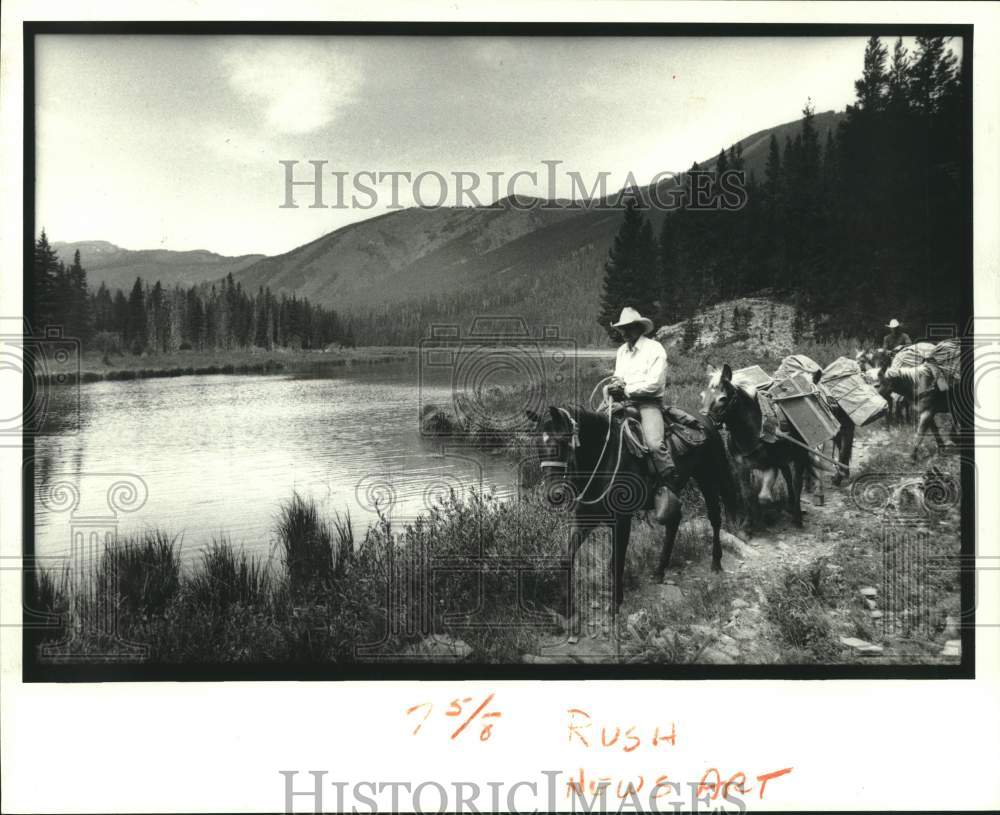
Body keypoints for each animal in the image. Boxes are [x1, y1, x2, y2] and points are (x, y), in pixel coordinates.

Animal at [528, 404, 740, 640]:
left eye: (563, 441)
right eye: (536, 443)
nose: (554, 494)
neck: (603, 460)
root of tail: (707, 419)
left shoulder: (621, 521)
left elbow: (616, 562)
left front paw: (615, 605)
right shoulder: (584, 517)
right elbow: (566, 558)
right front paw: (567, 611)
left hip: (707, 477)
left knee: (715, 517)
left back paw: (716, 562)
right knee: (674, 521)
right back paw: (659, 571)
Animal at [700, 364, 816, 528]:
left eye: (722, 398)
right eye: (702, 396)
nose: (703, 423)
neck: (751, 432)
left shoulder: (770, 465)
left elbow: (764, 498)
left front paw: (761, 518)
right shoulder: (741, 467)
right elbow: (746, 494)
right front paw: (748, 523)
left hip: (799, 455)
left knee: (796, 482)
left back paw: (797, 516)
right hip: (782, 458)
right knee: (787, 476)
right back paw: (790, 504)